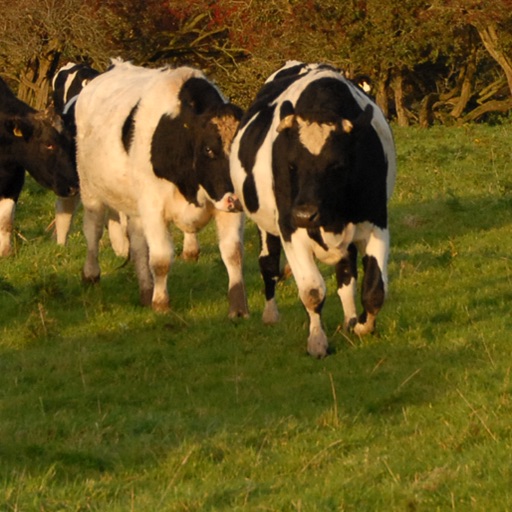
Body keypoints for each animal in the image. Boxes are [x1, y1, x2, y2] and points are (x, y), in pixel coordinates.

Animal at [0, 76, 78, 256]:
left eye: (71, 142)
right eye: (48, 144)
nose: (73, 187)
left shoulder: (14, 180)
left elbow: (5, 220)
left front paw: (5, 252)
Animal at [75, 59, 249, 316]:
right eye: (208, 149)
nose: (236, 199)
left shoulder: (226, 208)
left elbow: (233, 253)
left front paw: (238, 308)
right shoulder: (153, 207)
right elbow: (161, 259)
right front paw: (161, 303)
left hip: (135, 207)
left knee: (138, 245)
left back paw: (145, 292)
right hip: (90, 189)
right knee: (93, 230)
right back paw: (91, 274)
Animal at [231, 62, 396, 358]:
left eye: (338, 165)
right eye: (291, 165)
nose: (305, 214)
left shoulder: (376, 221)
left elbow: (375, 289)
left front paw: (362, 326)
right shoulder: (290, 229)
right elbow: (312, 291)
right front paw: (318, 342)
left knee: (346, 272)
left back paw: (349, 319)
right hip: (265, 225)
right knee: (268, 264)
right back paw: (271, 314)